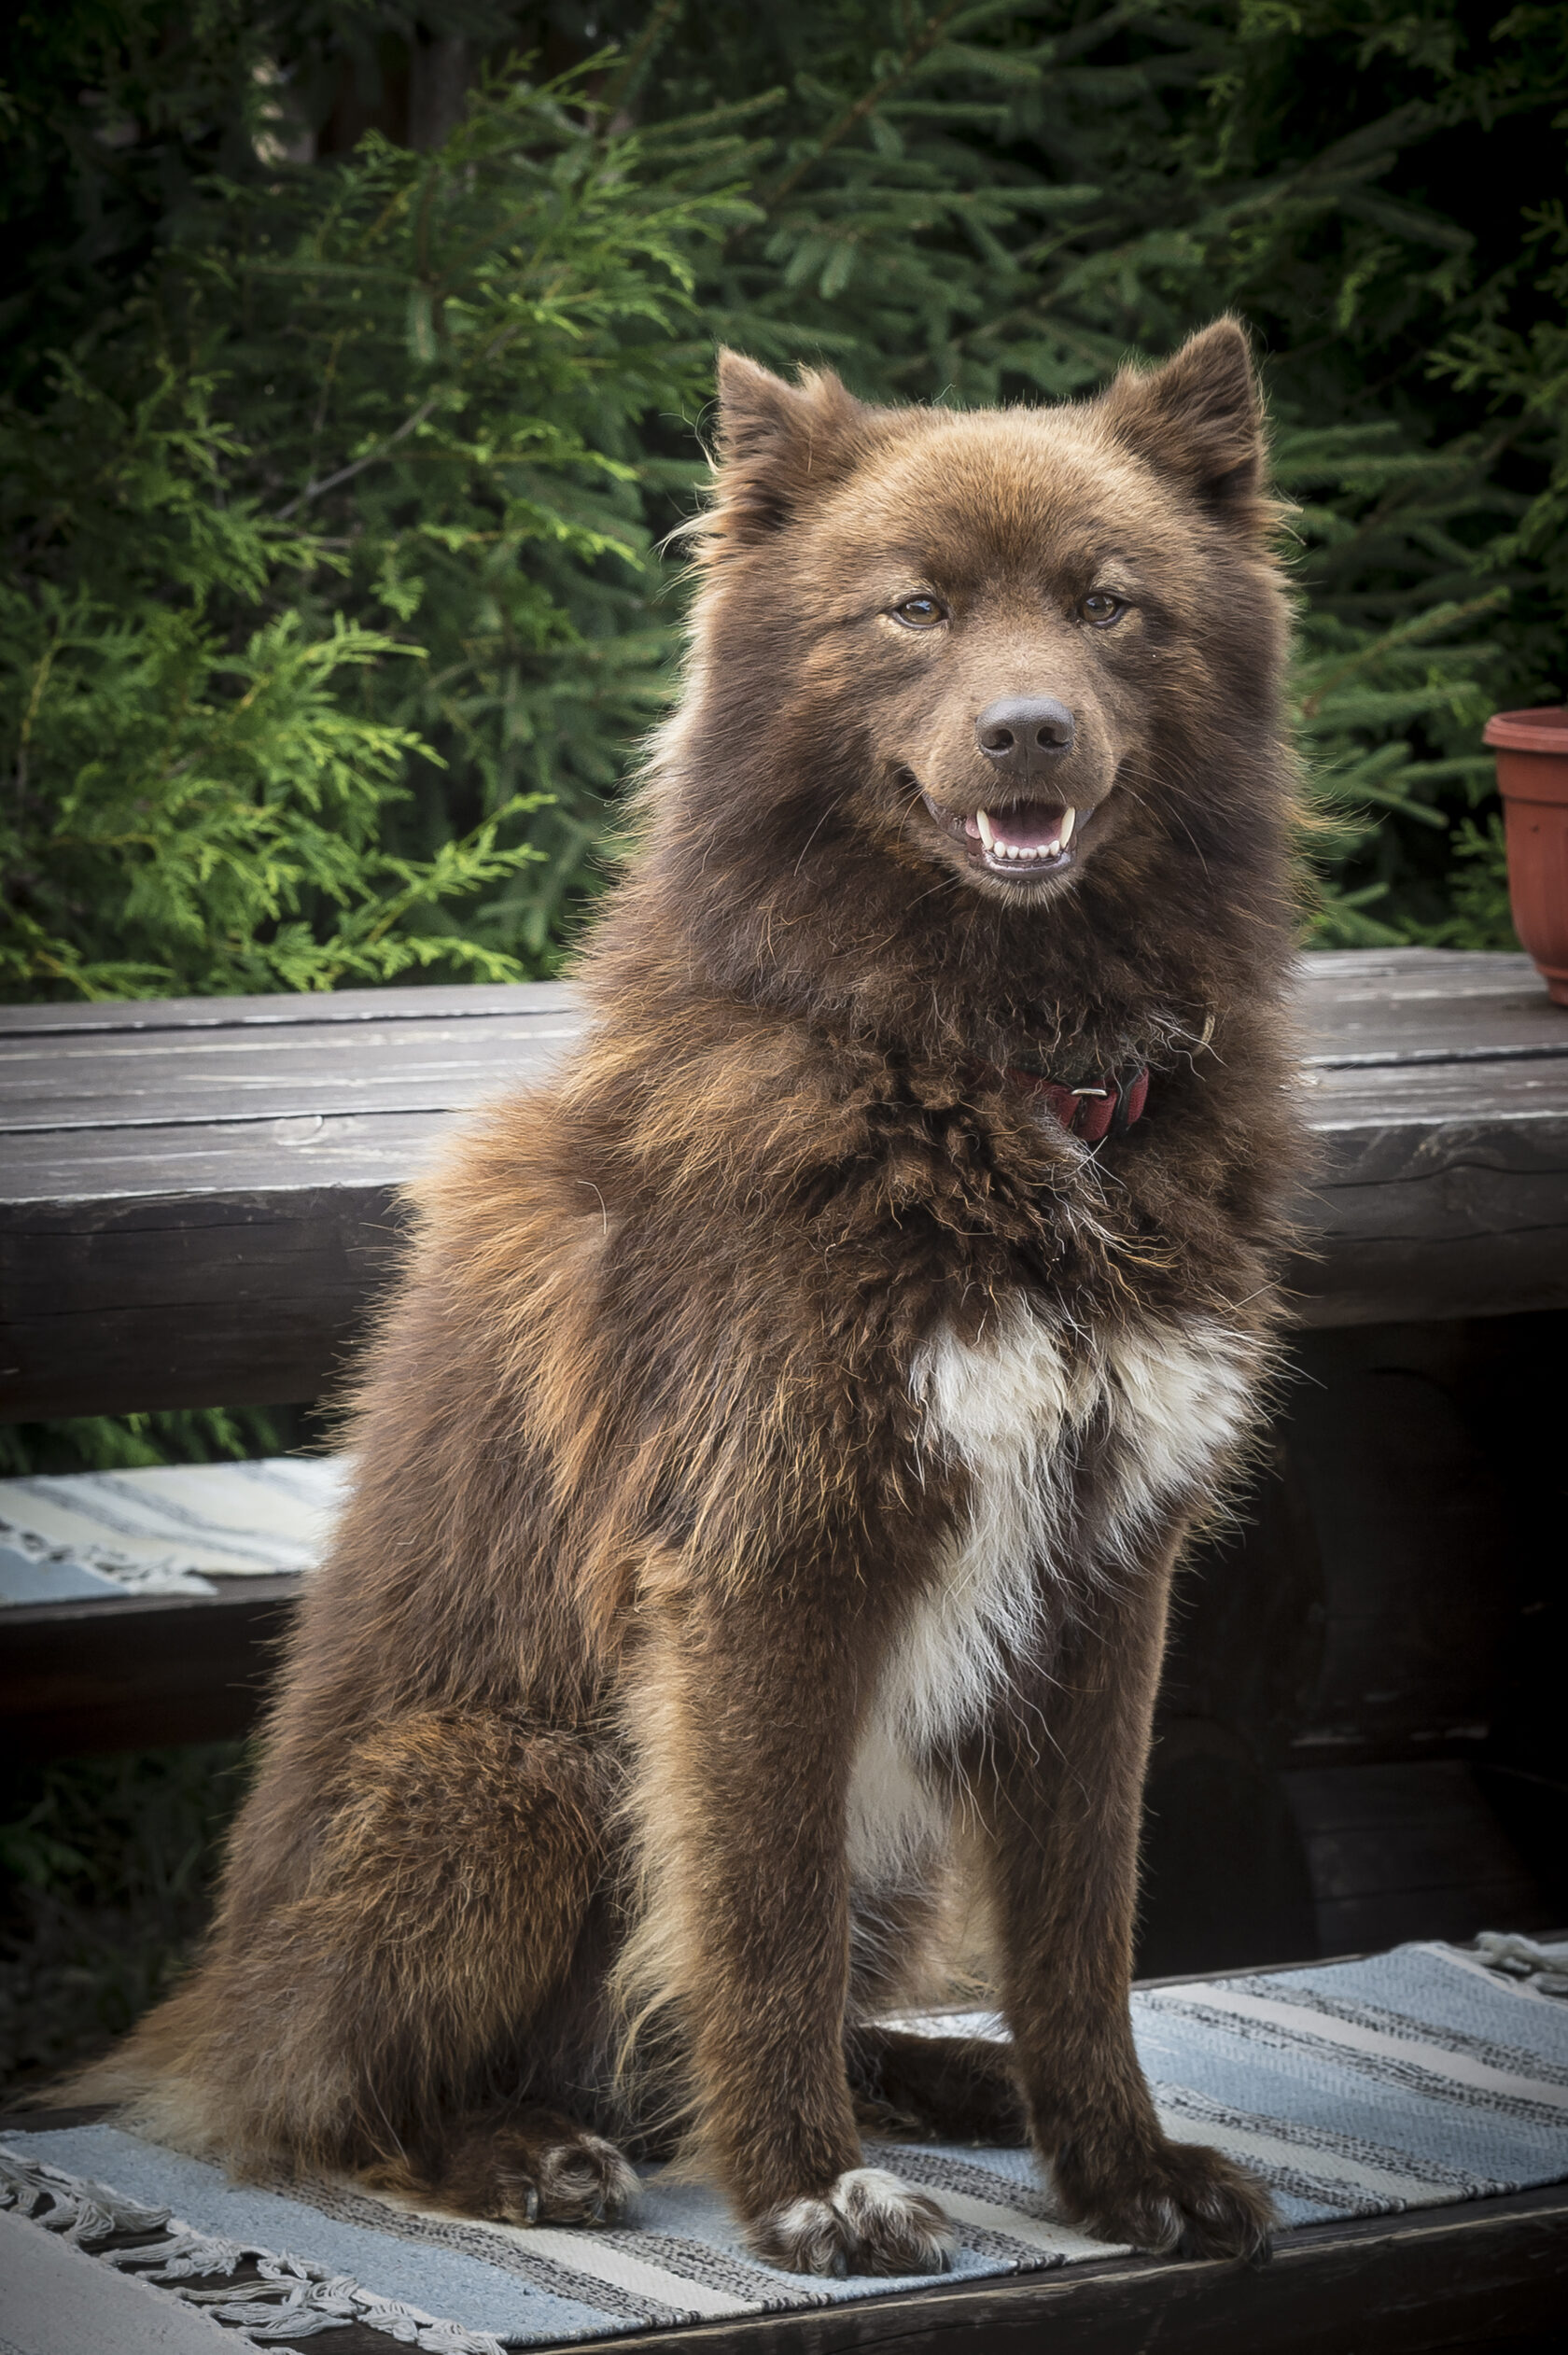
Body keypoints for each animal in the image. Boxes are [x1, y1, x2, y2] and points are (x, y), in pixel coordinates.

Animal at [91, 317, 1299, 2279]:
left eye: (1107, 605)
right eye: (914, 608)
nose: (1027, 730)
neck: (983, 1068)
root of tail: (201, 2008)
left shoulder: (1110, 1575)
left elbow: (1081, 1939)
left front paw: (1123, 2168)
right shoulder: (767, 1565)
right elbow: (757, 1925)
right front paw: (808, 2187)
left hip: (875, 1815)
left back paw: (943, 2078)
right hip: (504, 1779)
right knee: (332, 2106)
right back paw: (527, 2153)